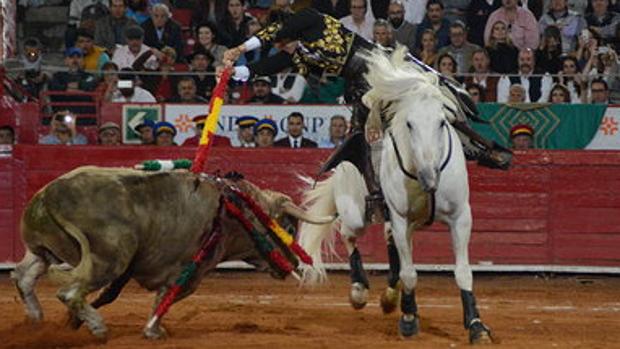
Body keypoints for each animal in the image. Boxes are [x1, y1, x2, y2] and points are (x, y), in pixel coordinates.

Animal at [10, 165, 330, 338]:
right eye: (287, 227)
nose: (293, 263)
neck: (236, 209)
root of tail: (49, 194)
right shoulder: (188, 271)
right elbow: (166, 298)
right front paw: (154, 332)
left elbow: (118, 295)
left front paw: (73, 323)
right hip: (109, 259)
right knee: (70, 292)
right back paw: (98, 328)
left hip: (44, 248)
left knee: (23, 276)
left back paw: (36, 319)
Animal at [300, 45, 494, 342]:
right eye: (409, 124)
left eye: (442, 122)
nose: (429, 176)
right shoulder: (401, 218)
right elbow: (410, 273)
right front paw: (409, 318)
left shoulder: (461, 217)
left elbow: (462, 272)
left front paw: (476, 325)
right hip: (356, 212)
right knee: (349, 235)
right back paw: (359, 290)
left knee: (391, 247)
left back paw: (390, 296)